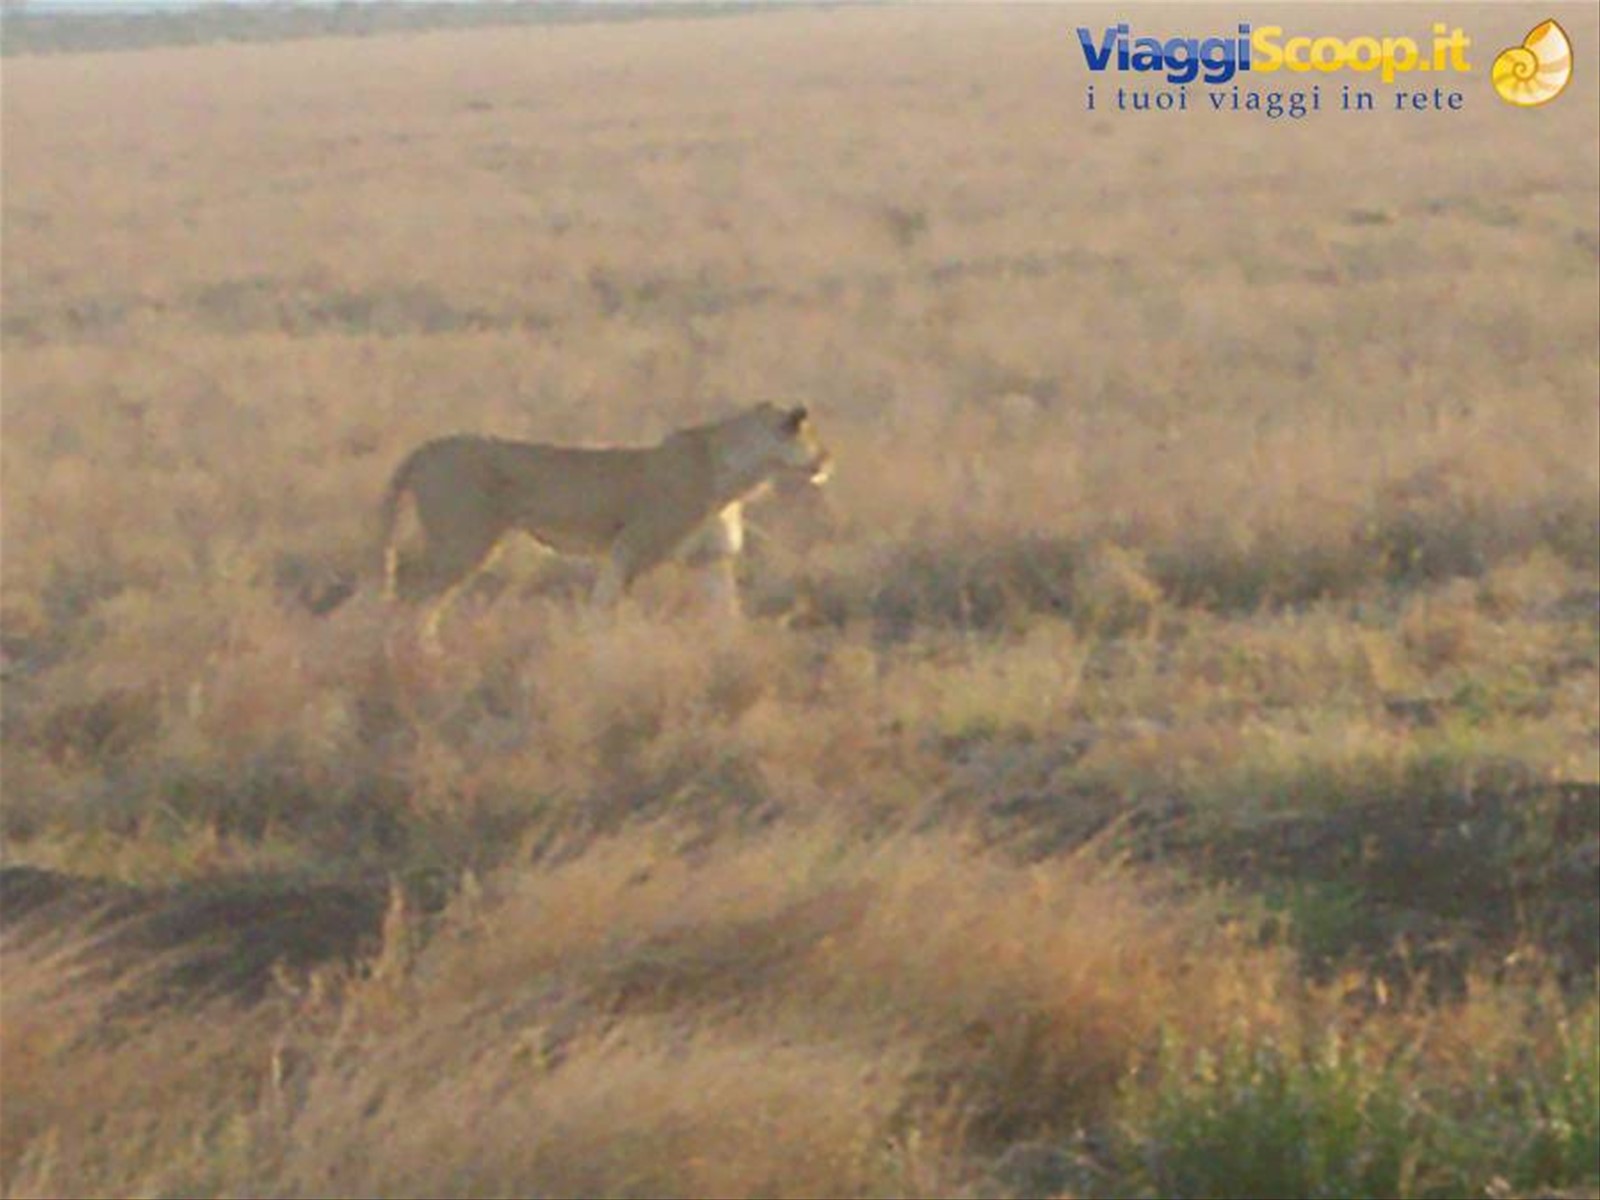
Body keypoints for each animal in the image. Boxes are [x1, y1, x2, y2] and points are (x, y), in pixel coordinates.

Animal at [378, 402, 832, 642]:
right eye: (815, 442)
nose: (828, 462)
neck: (740, 475)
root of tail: (426, 447)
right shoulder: (632, 547)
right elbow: (605, 605)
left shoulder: (710, 558)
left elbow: (726, 613)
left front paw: (732, 652)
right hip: (464, 543)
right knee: (413, 597)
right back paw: (416, 655)